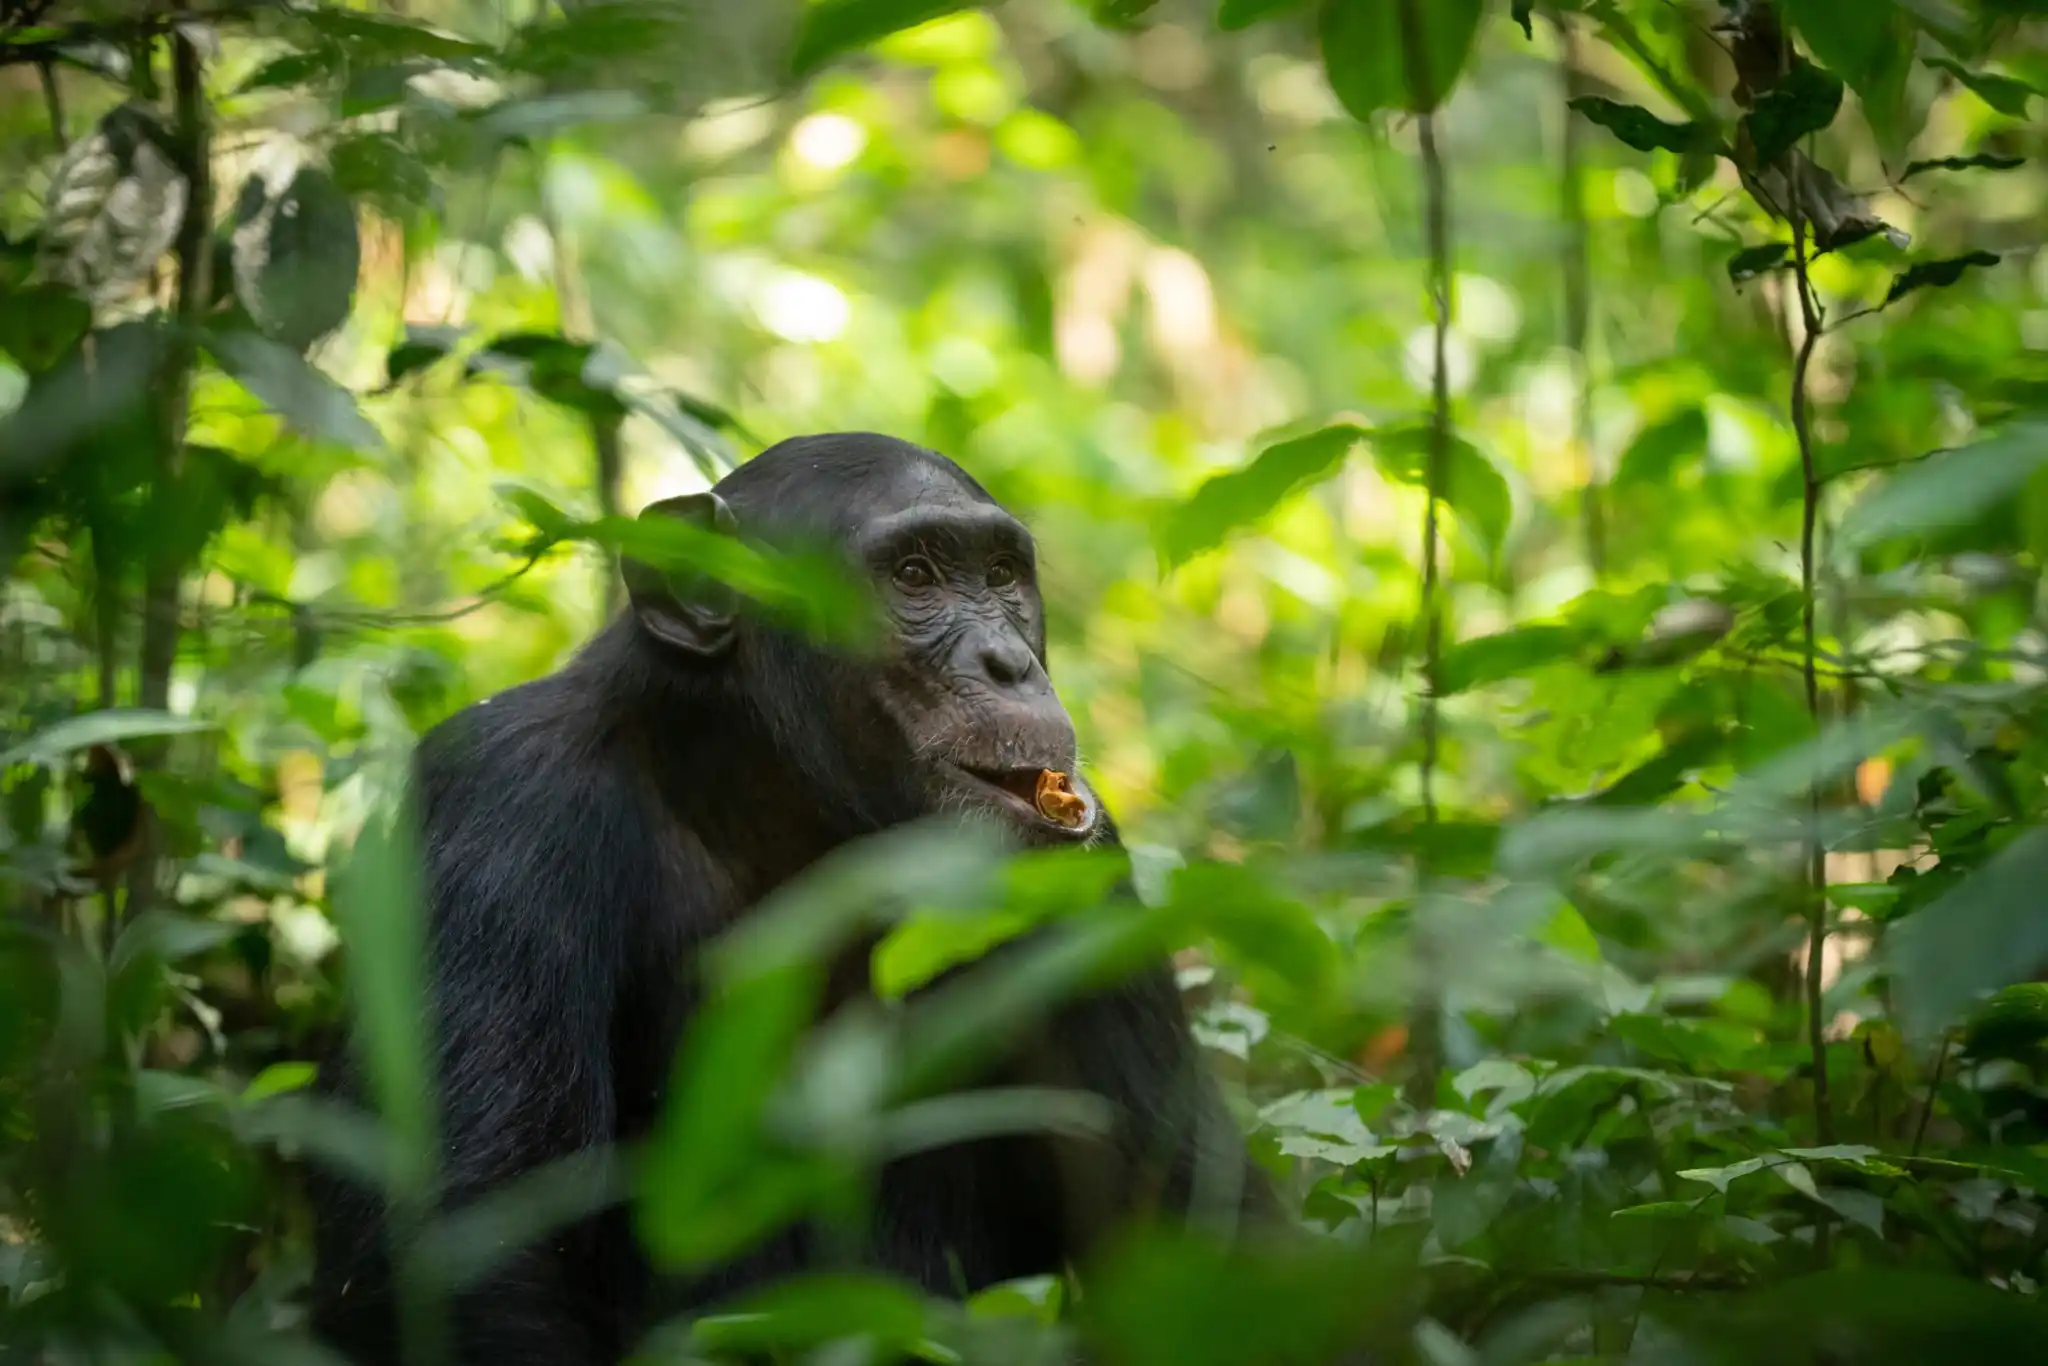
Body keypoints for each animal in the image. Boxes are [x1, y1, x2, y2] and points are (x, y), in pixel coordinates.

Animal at [303, 432, 1277, 1359]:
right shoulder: (501, 797)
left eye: (1001, 576)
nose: (1009, 662)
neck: (770, 806)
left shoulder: (1081, 871)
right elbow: (479, 1253)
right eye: (915, 576)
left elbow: (1192, 1226)